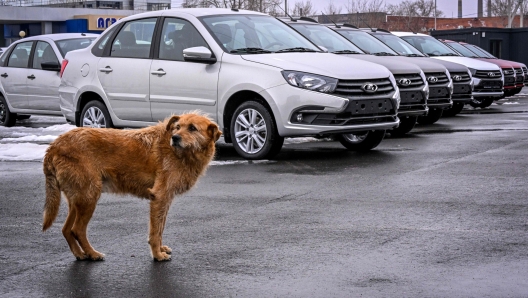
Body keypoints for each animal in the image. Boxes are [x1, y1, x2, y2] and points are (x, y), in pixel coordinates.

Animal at [41, 113, 221, 262]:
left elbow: (160, 227)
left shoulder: (165, 200)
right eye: (177, 127)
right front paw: (157, 255)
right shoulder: (159, 197)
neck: (182, 154)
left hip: (78, 199)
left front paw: (161, 249)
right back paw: (93, 254)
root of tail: (54, 145)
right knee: (77, 230)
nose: (175, 138)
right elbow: (155, 231)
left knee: (66, 229)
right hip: (89, 197)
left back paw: (80, 254)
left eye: (192, 128)